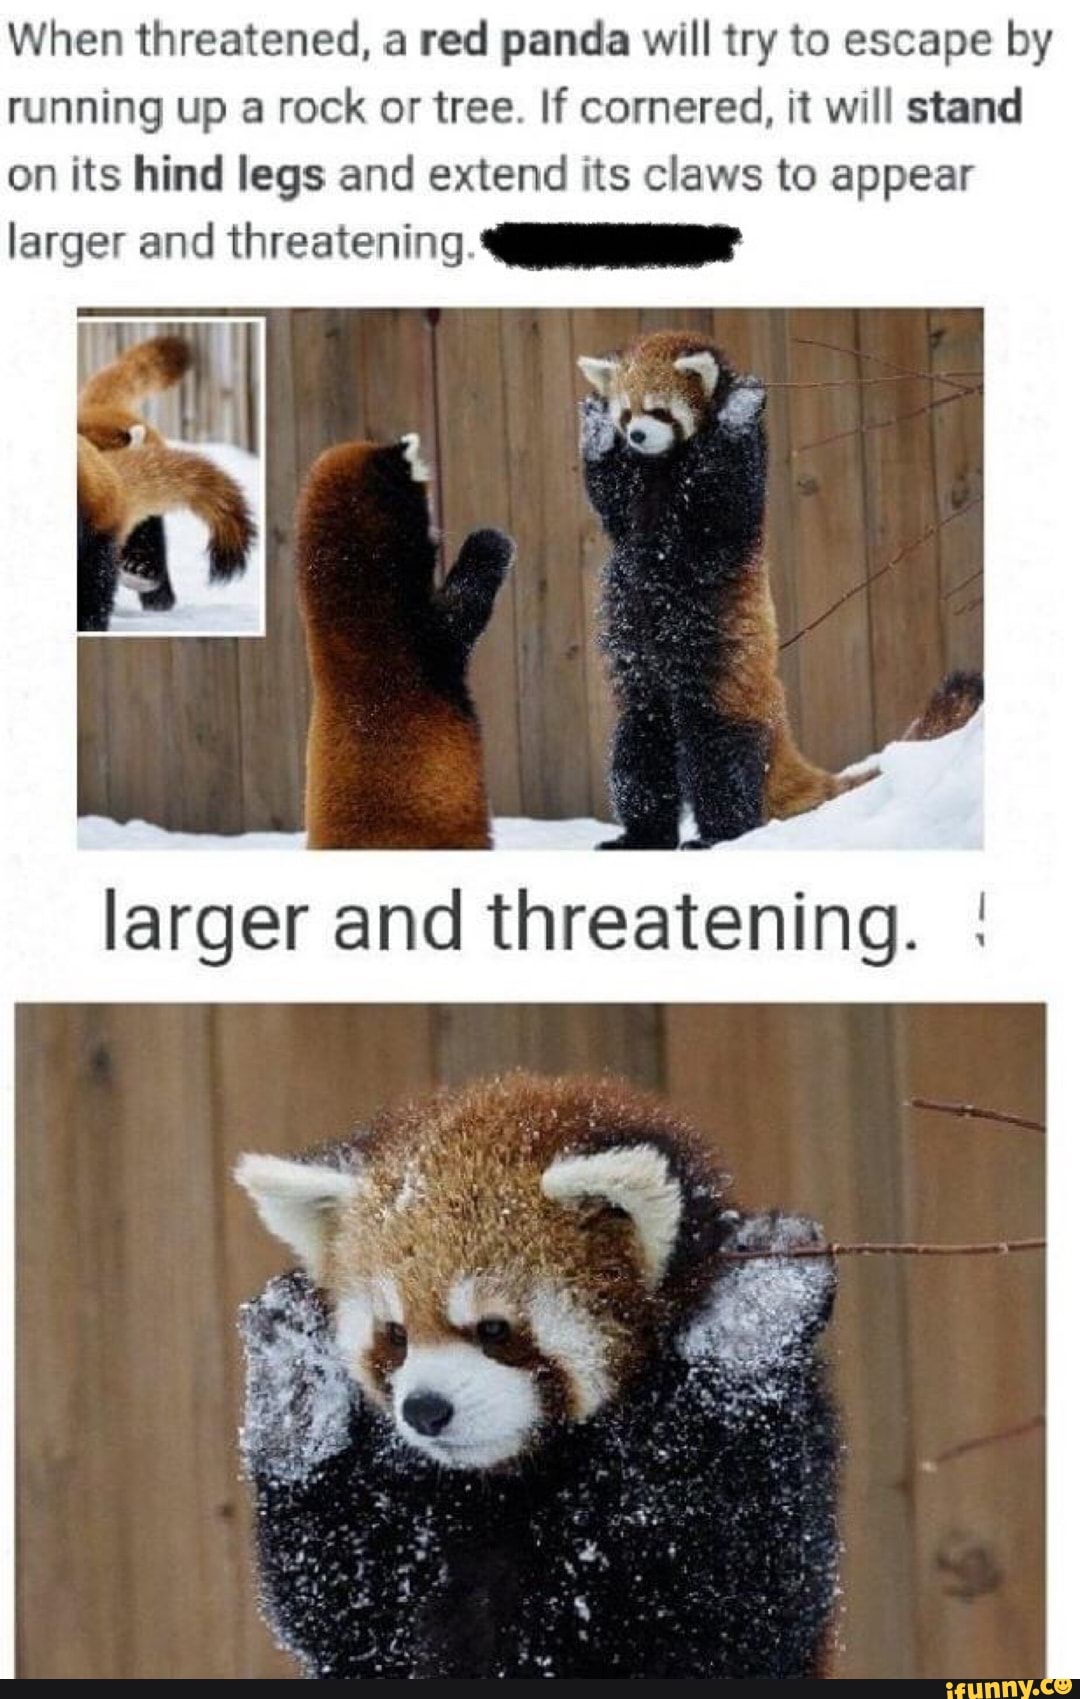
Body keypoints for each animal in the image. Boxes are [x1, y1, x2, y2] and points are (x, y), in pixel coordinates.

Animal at [236, 1072, 840, 1678]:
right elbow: (347, 1608)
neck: (513, 1478)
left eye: (494, 1329)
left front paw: (756, 1312)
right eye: (396, 1335)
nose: (425, 1410)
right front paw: (295, 1385)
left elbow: (739, 1587)